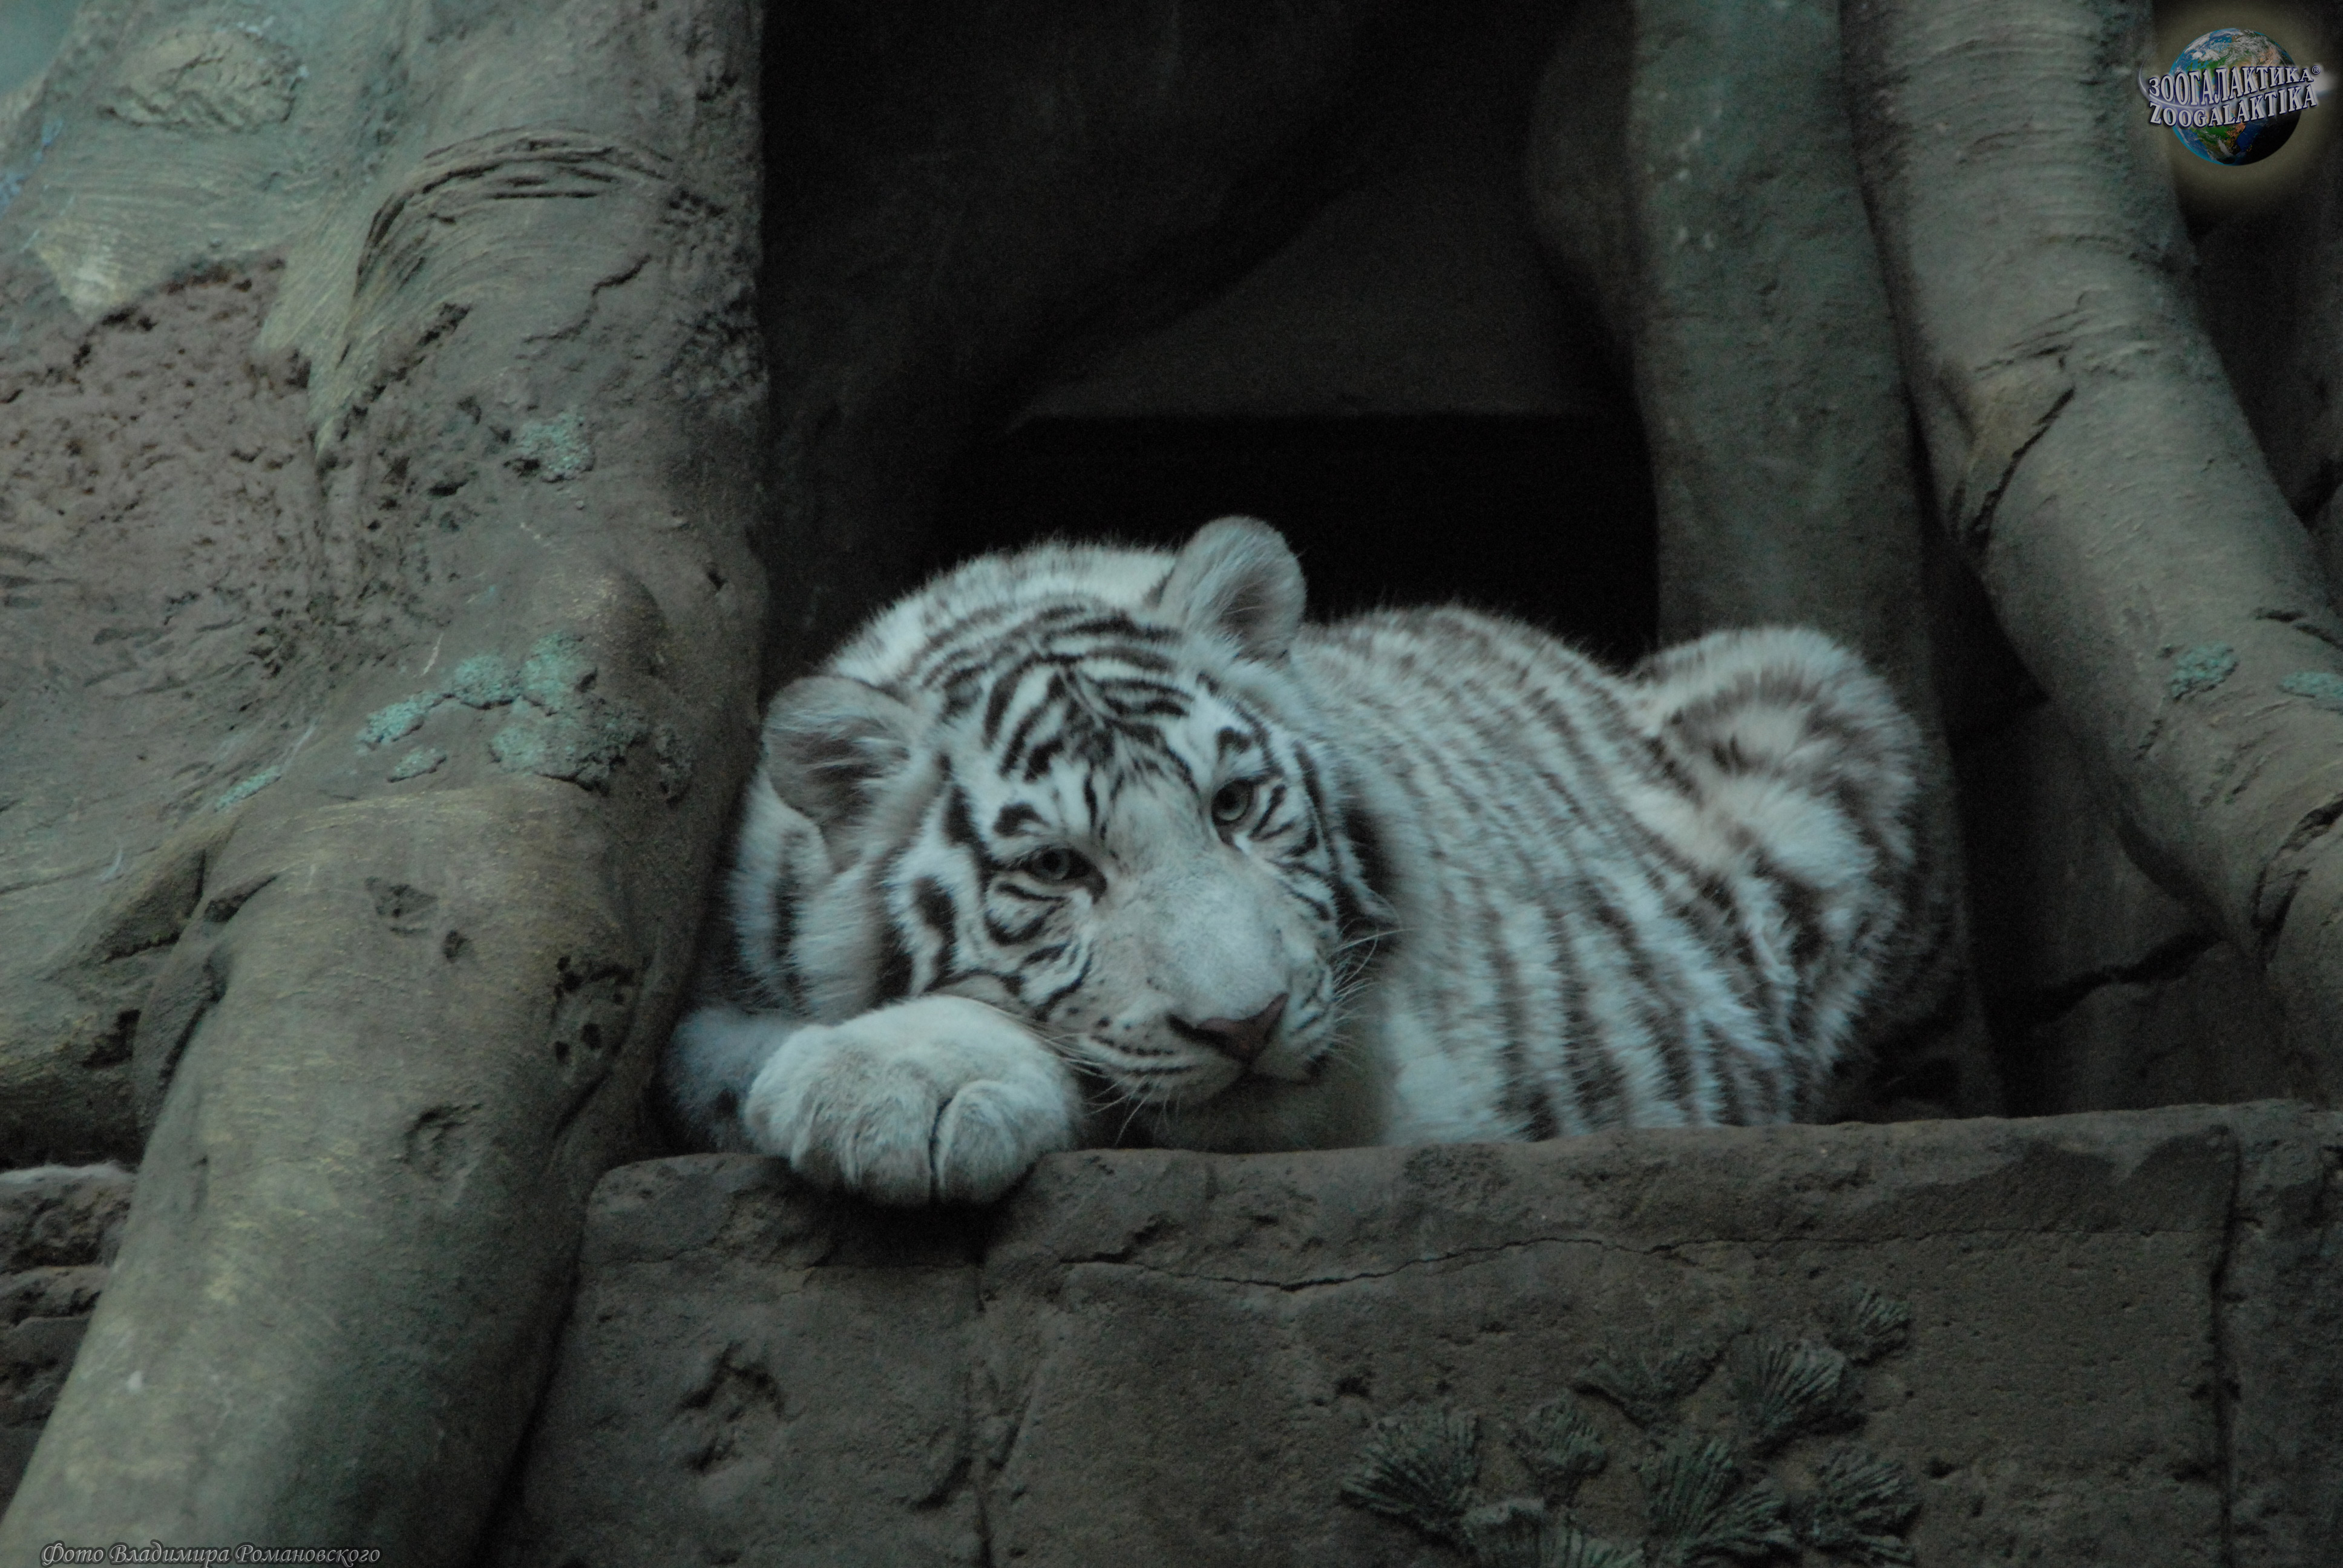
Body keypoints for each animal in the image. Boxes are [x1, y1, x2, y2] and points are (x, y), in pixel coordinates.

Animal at [663, 516, 1939, 1204]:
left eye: (1234, 806)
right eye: (1060, 871)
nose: (1245, 1023)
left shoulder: (1371, 1071)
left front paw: (893, 1086)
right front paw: (880, 1081)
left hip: (1811, 690)